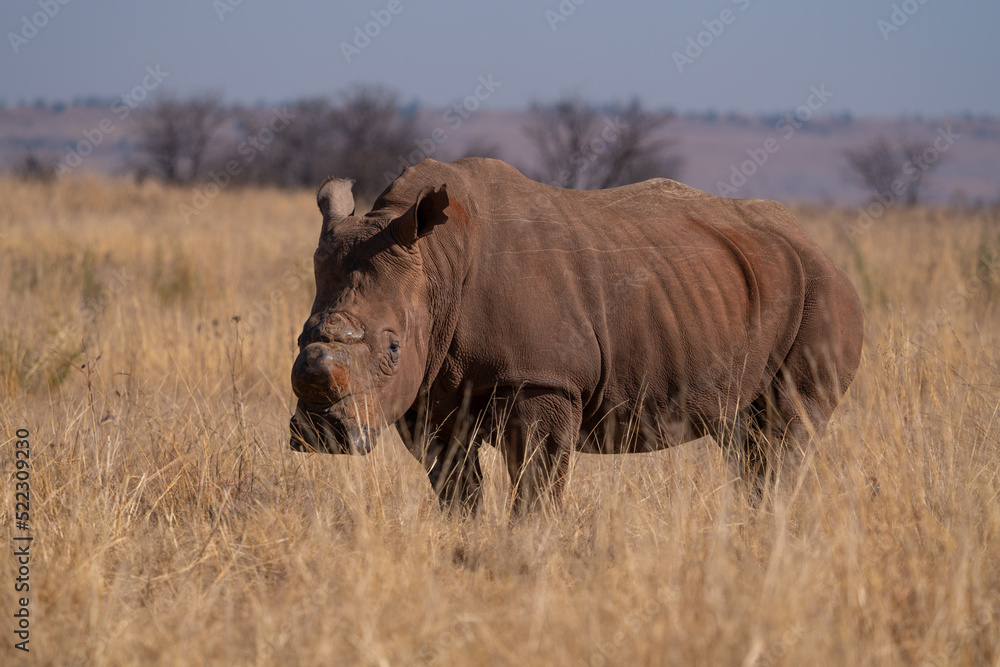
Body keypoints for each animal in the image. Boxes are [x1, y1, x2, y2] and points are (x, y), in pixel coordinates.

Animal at [289, 158, 863, 512]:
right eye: (299, 339)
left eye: (392, 347)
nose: (324, 434)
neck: (437, 265)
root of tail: (815, 244)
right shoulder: (427, 394)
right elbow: (455, 489)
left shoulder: (543, 380)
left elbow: (535, 488)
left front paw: (525, 552)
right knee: (744, 436)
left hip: (824, 293)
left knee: (786, 433)